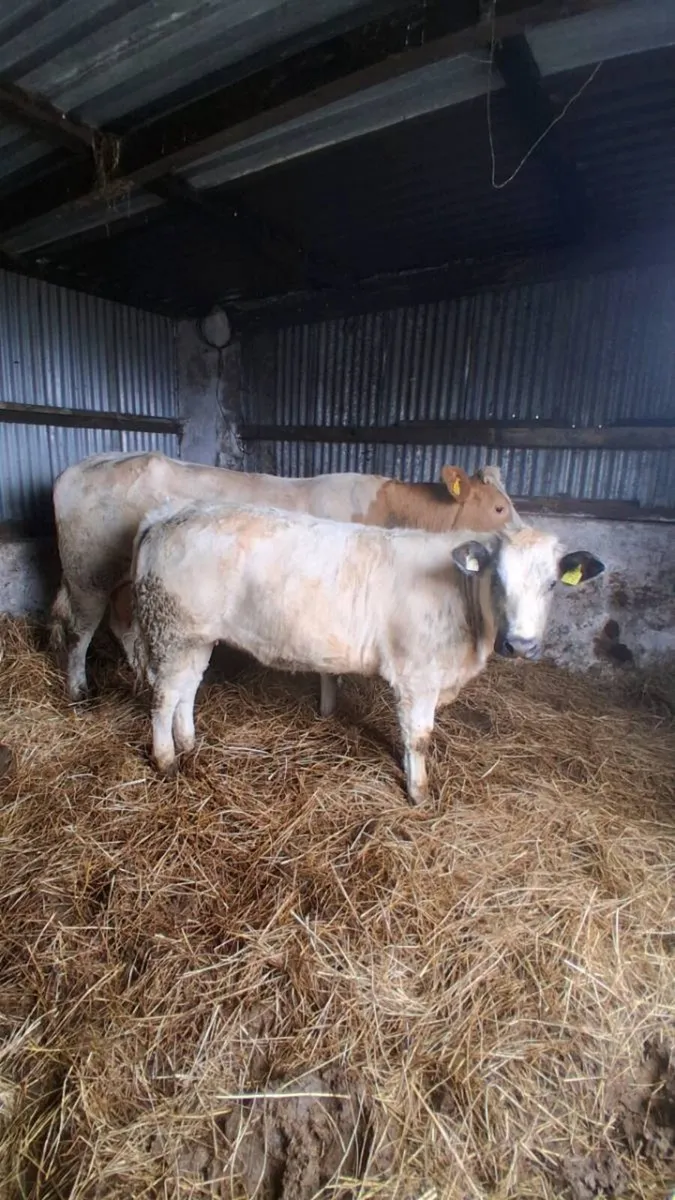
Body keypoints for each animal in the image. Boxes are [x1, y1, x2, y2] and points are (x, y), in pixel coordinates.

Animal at [50, 450, 521, 711]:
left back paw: (142, 676)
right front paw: (328, 706)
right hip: (87, 574)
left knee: (124, 627)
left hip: (126, 584)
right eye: (499, 508)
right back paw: (78, 690)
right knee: (80, 631)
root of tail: (81, 465)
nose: (523, 533)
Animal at [130, 502, 605, 803]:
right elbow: (419, 737)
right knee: (163, 697)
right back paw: (166, 759)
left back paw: (189, 743)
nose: (520, 644)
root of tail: (169, 515)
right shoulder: (417, 675)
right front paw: (418, 792)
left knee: (186, 688)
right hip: (173, 630)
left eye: (552, 584)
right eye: (497, 579)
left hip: (194, 637)